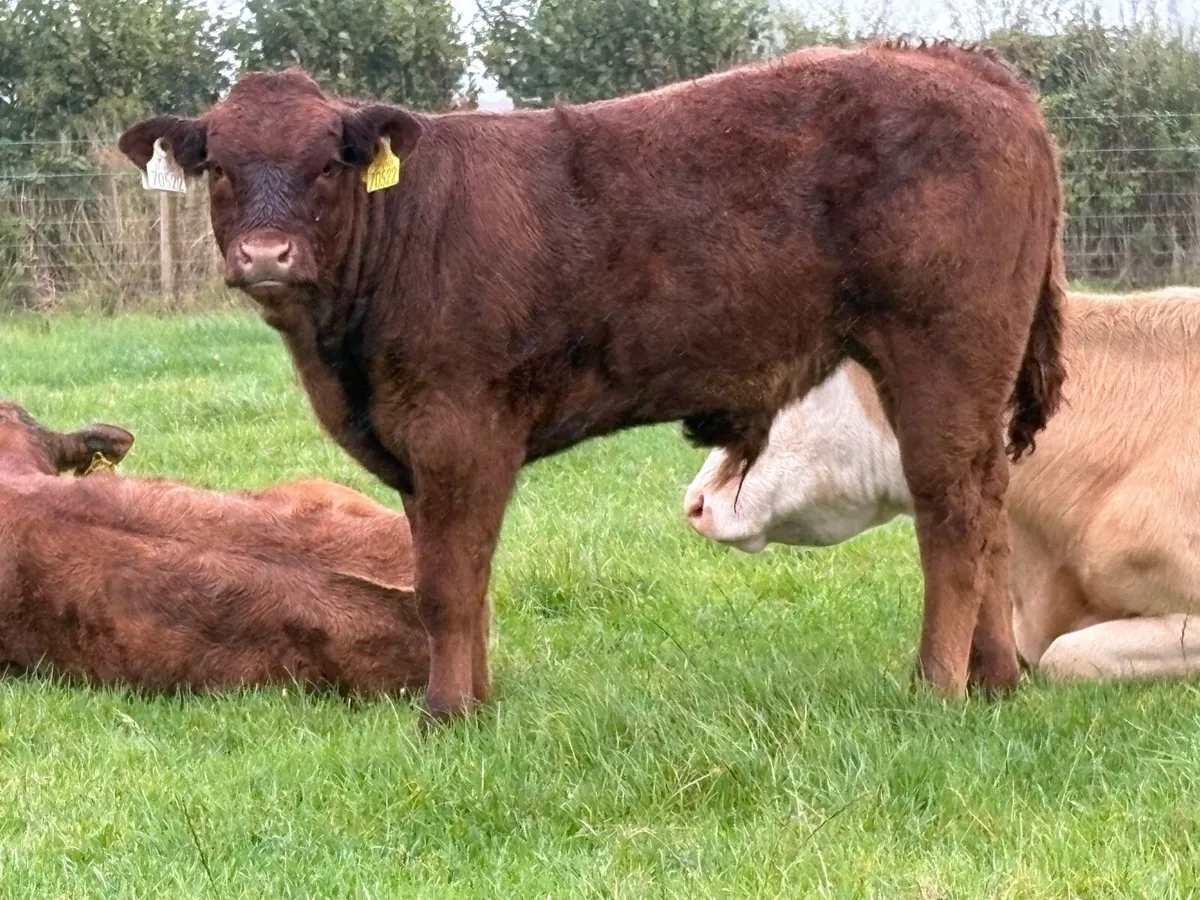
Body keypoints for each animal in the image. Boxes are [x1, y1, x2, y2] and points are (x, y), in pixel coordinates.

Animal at [119, 41, 1067, 719]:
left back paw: (937, 685)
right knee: (988, 502)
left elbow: (448, 586)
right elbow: (453, 576)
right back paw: (994, 680)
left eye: (328, 163)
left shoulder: (460, 429)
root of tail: (963, 64)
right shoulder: (418, 454)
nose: (265, 256)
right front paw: (478, 699)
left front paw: (446, 714)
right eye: (219, 166)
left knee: (951, 508)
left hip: (940, 349)